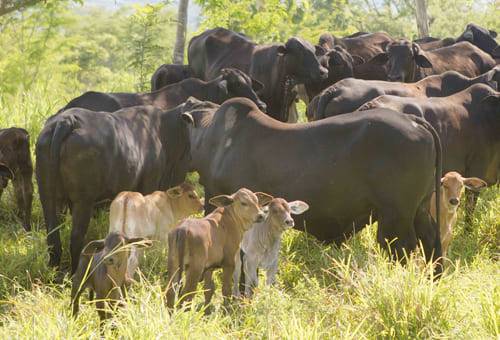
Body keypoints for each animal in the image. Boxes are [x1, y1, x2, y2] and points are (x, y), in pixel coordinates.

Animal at [34, 102, 215, 272]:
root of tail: (67, 120)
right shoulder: (149, 185)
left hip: (48, 197)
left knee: (53, 237)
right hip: (83, 201)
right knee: (76, 238)